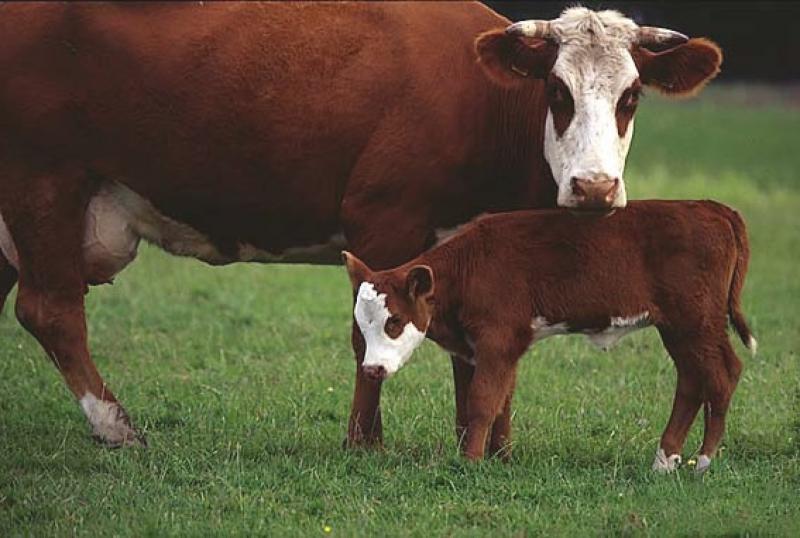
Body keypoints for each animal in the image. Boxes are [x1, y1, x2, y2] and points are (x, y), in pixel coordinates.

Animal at [0, 2, 720, 446]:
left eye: (631, 96)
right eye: (556, 91)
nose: (594, 187)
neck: (482, 104)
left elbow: (475, 352)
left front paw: (482, 442)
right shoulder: (381, 221)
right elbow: (364, 338)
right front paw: (363, 441)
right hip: (41, 181)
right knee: (50, 309)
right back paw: (116, 426)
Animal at [340, 199, 752, 472]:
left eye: (394, 321)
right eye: (361, 323)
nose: (373, 369)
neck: (470, 266)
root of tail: (712, 208)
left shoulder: (496, 341)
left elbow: (481, 401)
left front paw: (471, 462)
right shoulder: (503, 349)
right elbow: (501, 402)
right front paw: (500, 458)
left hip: (697, 323)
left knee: (723, 374)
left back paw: (703, 461)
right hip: (679, 329)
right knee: (692, 381)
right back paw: (664, 462)